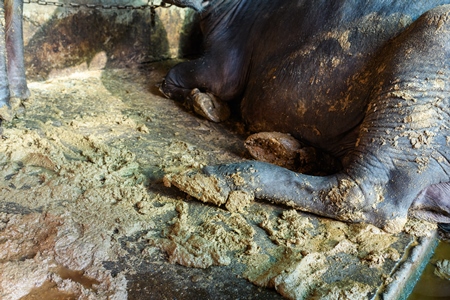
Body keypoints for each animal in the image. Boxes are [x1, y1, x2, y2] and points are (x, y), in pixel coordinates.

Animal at [161, 0, 450, 232]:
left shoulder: (222, 62)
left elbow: (177, 77)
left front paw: (205, 103)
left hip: (420, 78)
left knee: (362, 194)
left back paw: (211, 177)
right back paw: (291, 151)